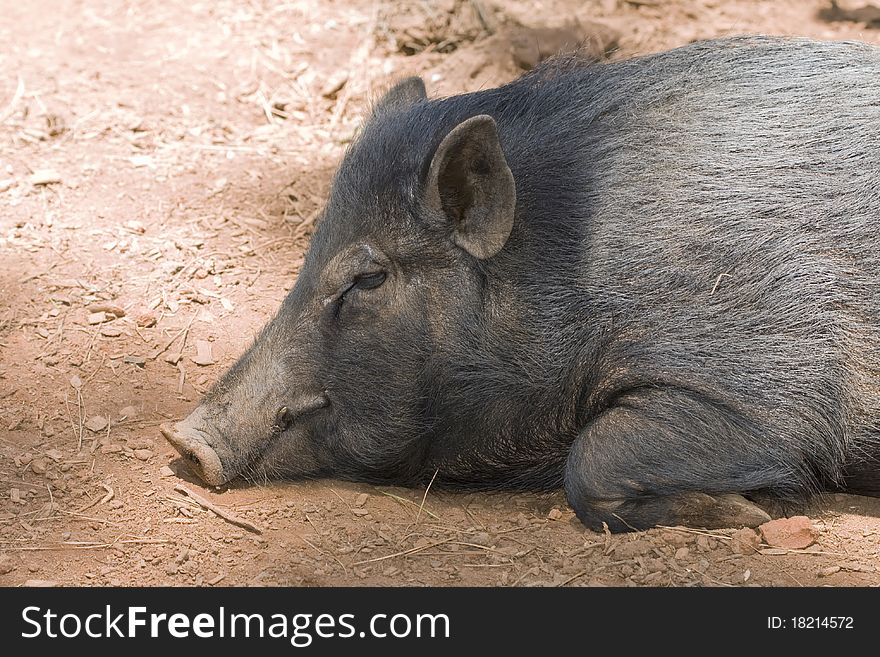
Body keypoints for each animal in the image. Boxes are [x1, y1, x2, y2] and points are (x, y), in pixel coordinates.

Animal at [163, 36, 880, 532]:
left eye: (368, 277)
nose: (182, 442)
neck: (575, 263)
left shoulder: (760, 377)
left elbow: (590, 461)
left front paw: (748, 514)